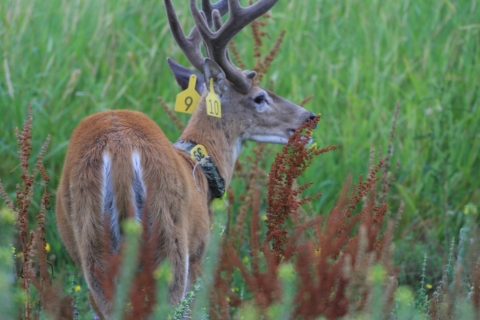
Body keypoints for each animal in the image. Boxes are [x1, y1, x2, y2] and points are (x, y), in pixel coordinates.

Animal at [55, 0, 316, 316]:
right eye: (259, 97)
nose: (308, 117)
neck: (199, 167)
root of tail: (118, 152)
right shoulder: (200, 253)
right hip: (171, 242)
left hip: (92, 248)